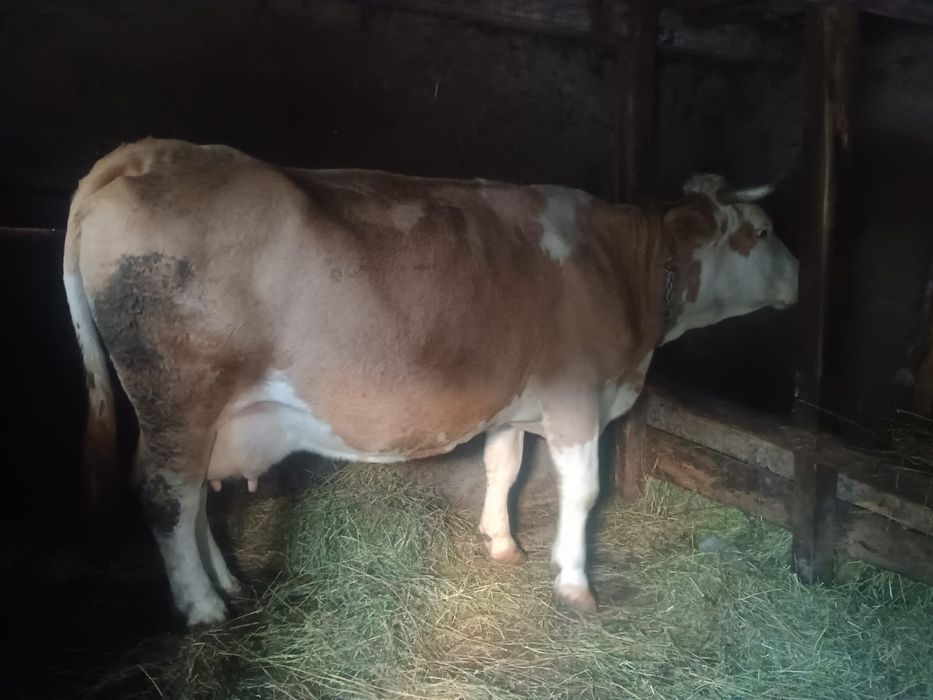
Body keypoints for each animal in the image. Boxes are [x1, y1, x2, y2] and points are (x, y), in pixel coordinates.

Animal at [63, 138, 797, 626]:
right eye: (763, 230)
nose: (799, 278)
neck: (622, 267)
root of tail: (149, 153)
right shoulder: (575, 398)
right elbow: (583, 493)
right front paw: (573, 584)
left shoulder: (512, 399)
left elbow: (503, 465)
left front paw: (501, 542)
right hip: (179, 394)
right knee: (167, 497)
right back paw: (202, 607)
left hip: (205, 415)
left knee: (191, 501)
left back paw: (226, 584)